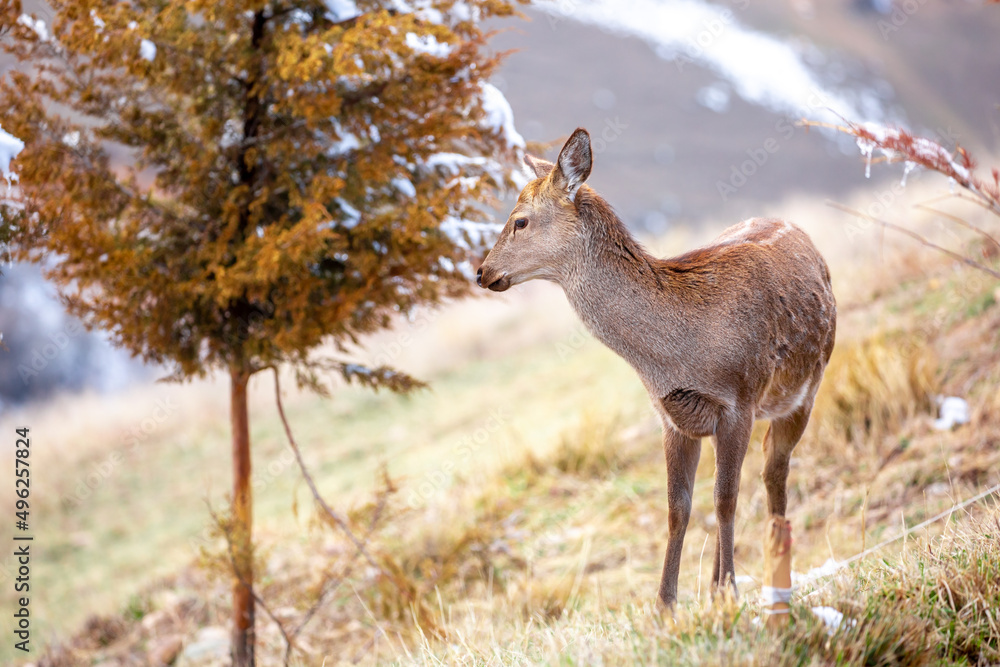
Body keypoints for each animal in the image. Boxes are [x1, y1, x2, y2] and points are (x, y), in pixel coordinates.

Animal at [476, 128, 836, 608]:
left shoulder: (738, 400)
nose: (482, 272)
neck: (676, 357)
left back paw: (776, 582)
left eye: (519, 220)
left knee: (773, 470)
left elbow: (725, 499)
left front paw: (728, 590)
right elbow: (678, 508)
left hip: (804, 388)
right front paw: (668, 603)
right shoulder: (673, 417)